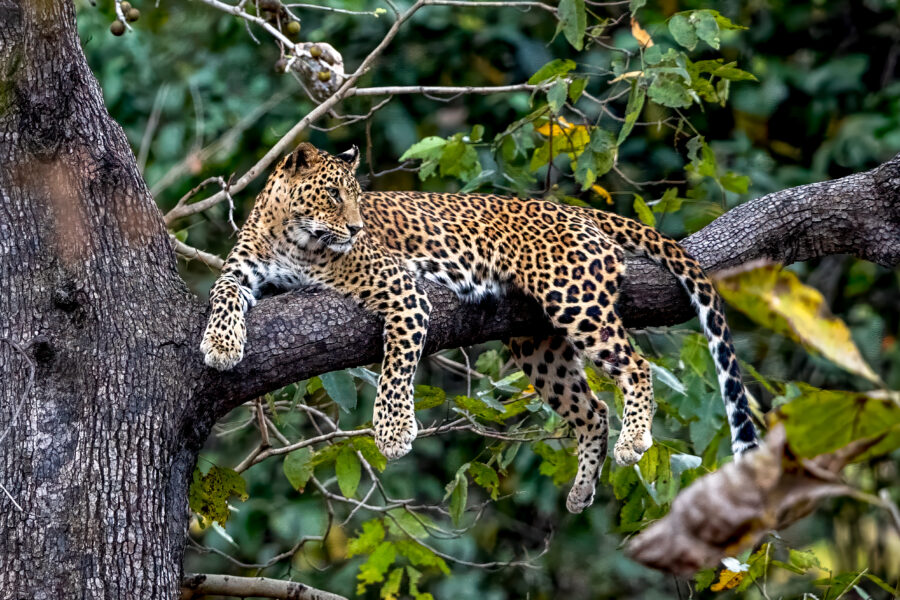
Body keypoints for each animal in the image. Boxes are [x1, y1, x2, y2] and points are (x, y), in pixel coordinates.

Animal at [200, 142, 759, 513]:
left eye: (357, 197)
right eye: (334, 195)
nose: (357, 228)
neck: (289, 235)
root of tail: (571, 209)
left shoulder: (403, 288)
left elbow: (396, 365)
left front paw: (393, 431)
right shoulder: (241, 271)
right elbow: (222, 296)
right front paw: (220, 345)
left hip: (573, 298)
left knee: (636, 366)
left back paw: (633, 441)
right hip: (538, 343)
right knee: (593, 409)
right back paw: (582, 489)